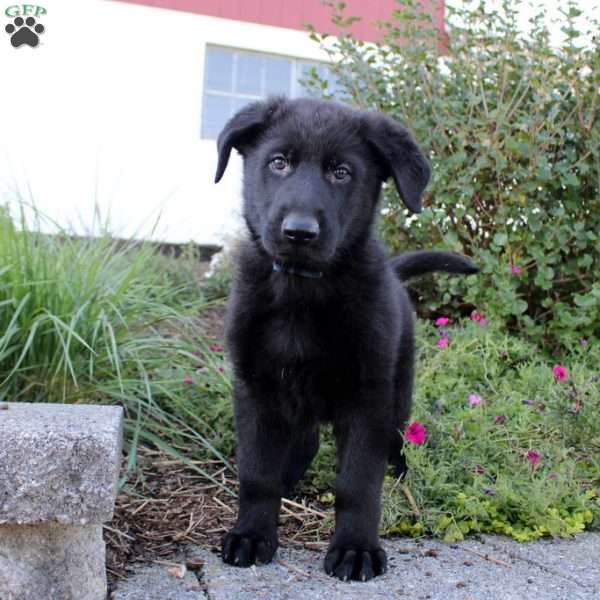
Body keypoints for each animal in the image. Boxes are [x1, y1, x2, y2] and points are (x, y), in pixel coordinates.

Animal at [213, 97, 476, 580]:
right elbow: (257, 473)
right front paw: (253, 533)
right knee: (305, 442)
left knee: (395, 441)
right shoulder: (255, 387)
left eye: (341, 172)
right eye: (278, 162)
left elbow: (357, 483)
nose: (299, 232)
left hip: (399, 389)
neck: (302, 290)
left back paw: (401, 474)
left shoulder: (367, 396)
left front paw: (356, 547)